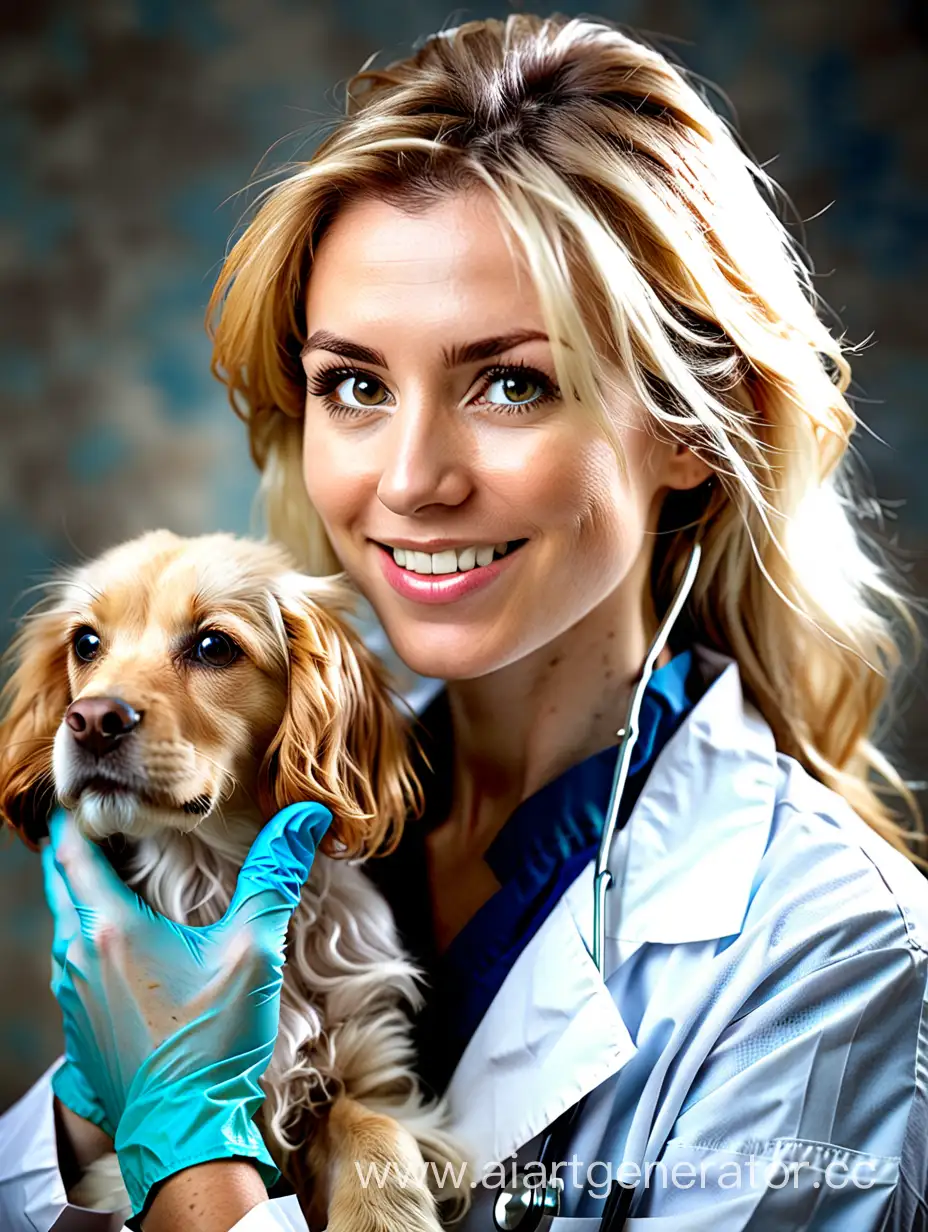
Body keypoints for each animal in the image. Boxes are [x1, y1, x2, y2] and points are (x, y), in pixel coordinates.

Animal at [0, 529, 465, 1232]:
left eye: (213, 646)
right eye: (85, 642)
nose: (90, 719)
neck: (210, 872)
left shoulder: (352, 1067)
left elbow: (377, 1126)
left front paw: (384, 1215)